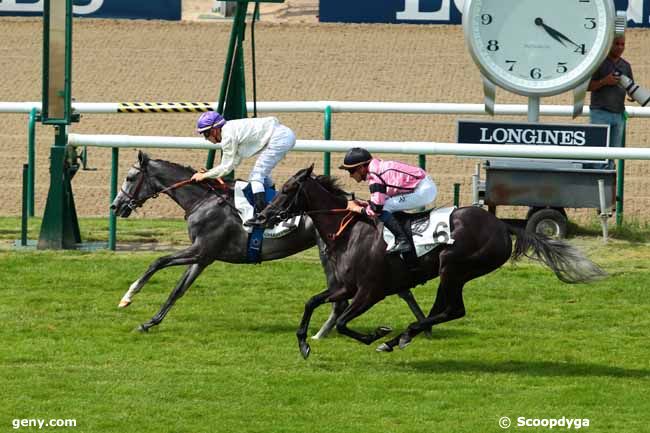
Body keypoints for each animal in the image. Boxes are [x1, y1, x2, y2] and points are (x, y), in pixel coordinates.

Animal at [251, 164, 604, 356]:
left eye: (288, 189)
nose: (263, 215)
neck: (350, 230)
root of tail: (502, 225)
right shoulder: (345, 287)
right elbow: (312, 302)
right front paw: (304, 344)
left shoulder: (369, 291)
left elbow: (341, 322)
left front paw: (377, 333)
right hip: (455, 272)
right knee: (442, 310)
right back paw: (404, 337)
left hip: (454, 264)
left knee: (452, 309)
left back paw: (395, 339)